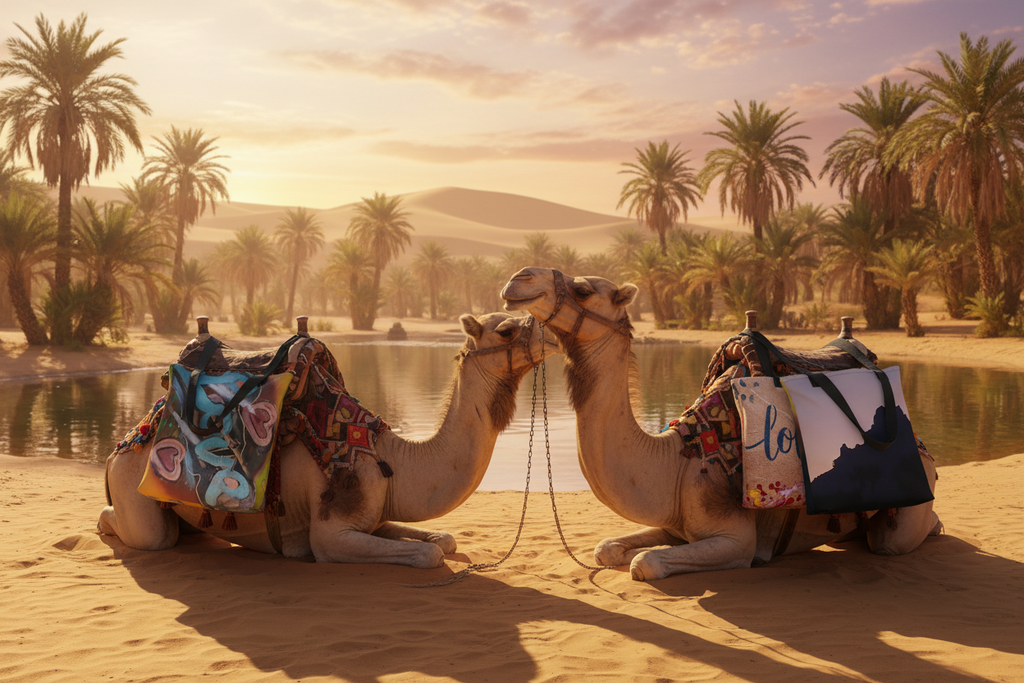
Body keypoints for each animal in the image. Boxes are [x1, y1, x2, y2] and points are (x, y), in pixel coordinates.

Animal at [99, 312, 556, 567]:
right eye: (507, 329)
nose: (551, 334)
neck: (391, 461)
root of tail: (119, 448)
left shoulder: (374, 515)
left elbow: (443, 538)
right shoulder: (330, 534)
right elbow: (429, 553)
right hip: (133, 489)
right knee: (145, 533)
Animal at [501, 267, 941, 581]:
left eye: (582, 289)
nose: (518, 279)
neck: (678, 461)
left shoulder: (736, 539)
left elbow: (645, 563)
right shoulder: (677, 524)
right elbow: (606, 548)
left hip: (908, 509)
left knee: (890, 540)